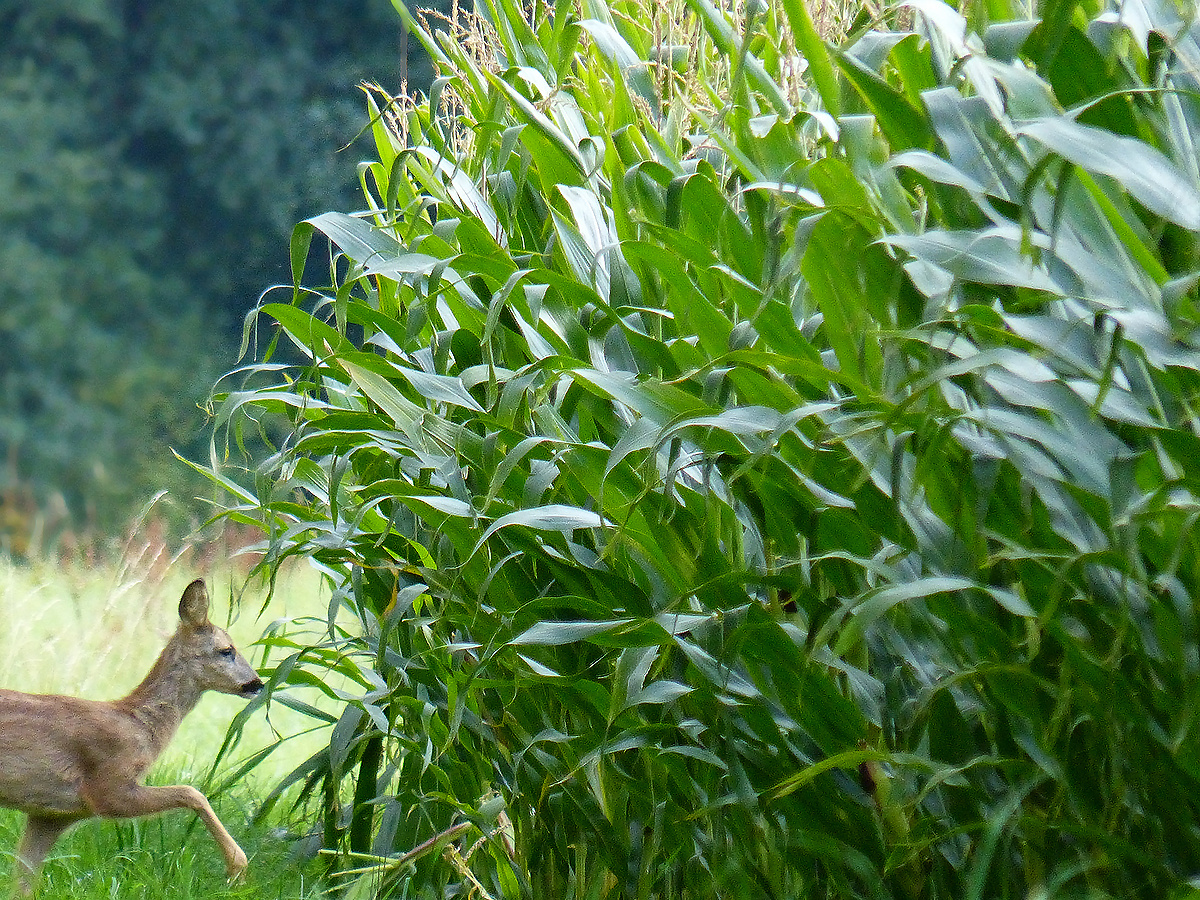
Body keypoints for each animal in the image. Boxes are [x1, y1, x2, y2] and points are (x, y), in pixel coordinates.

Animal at [0, 578, 262, 897]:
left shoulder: (50, 815)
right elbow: (193, 792)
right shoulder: (107, 788)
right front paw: (237, 867)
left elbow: (23, 882)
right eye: (226, 650)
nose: (257, 684)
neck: (139, 724)